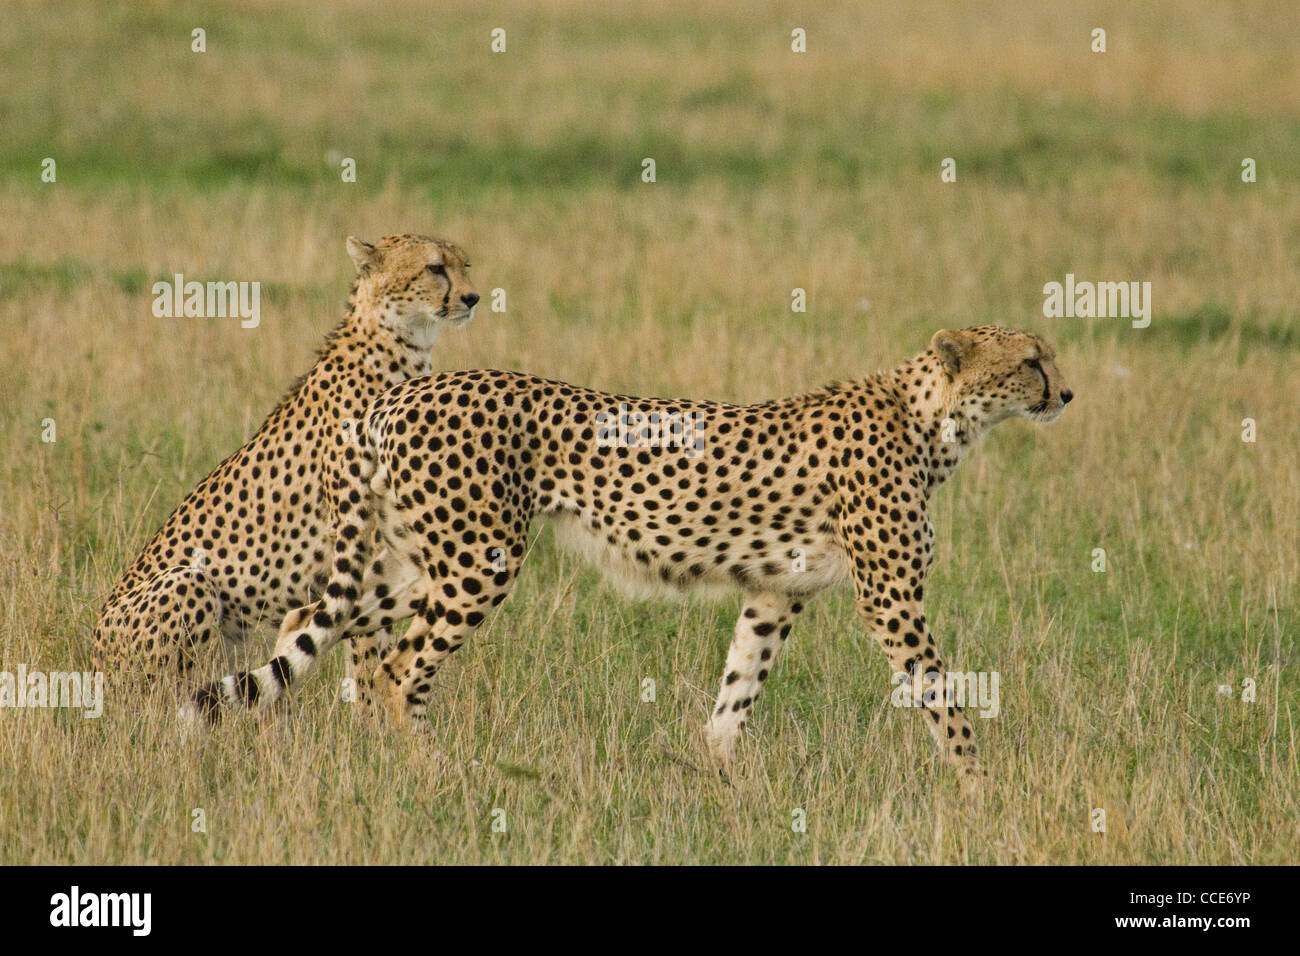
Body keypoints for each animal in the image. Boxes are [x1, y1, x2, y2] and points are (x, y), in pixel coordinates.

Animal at [92, 235, 478, 691]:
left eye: (464, 264)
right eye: (435, 268)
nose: (472, 297)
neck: (402, 344)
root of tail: (93, 654)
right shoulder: (356, 543)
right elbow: (367, 653)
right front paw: (371, 709)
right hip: (189, 581)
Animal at [189, 329, 1066, 790]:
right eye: (1030, 360)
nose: (1065, 394)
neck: (933, 420)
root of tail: (396, 398)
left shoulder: (775, 593)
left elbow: (739, 684)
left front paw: (715, 773)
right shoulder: (890, 600)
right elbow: (942, 693)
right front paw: (980, 785)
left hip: (421, 560)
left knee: (316, 621)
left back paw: (331, 747)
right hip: (477, 561)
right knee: (401, 667)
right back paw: (432, 770)